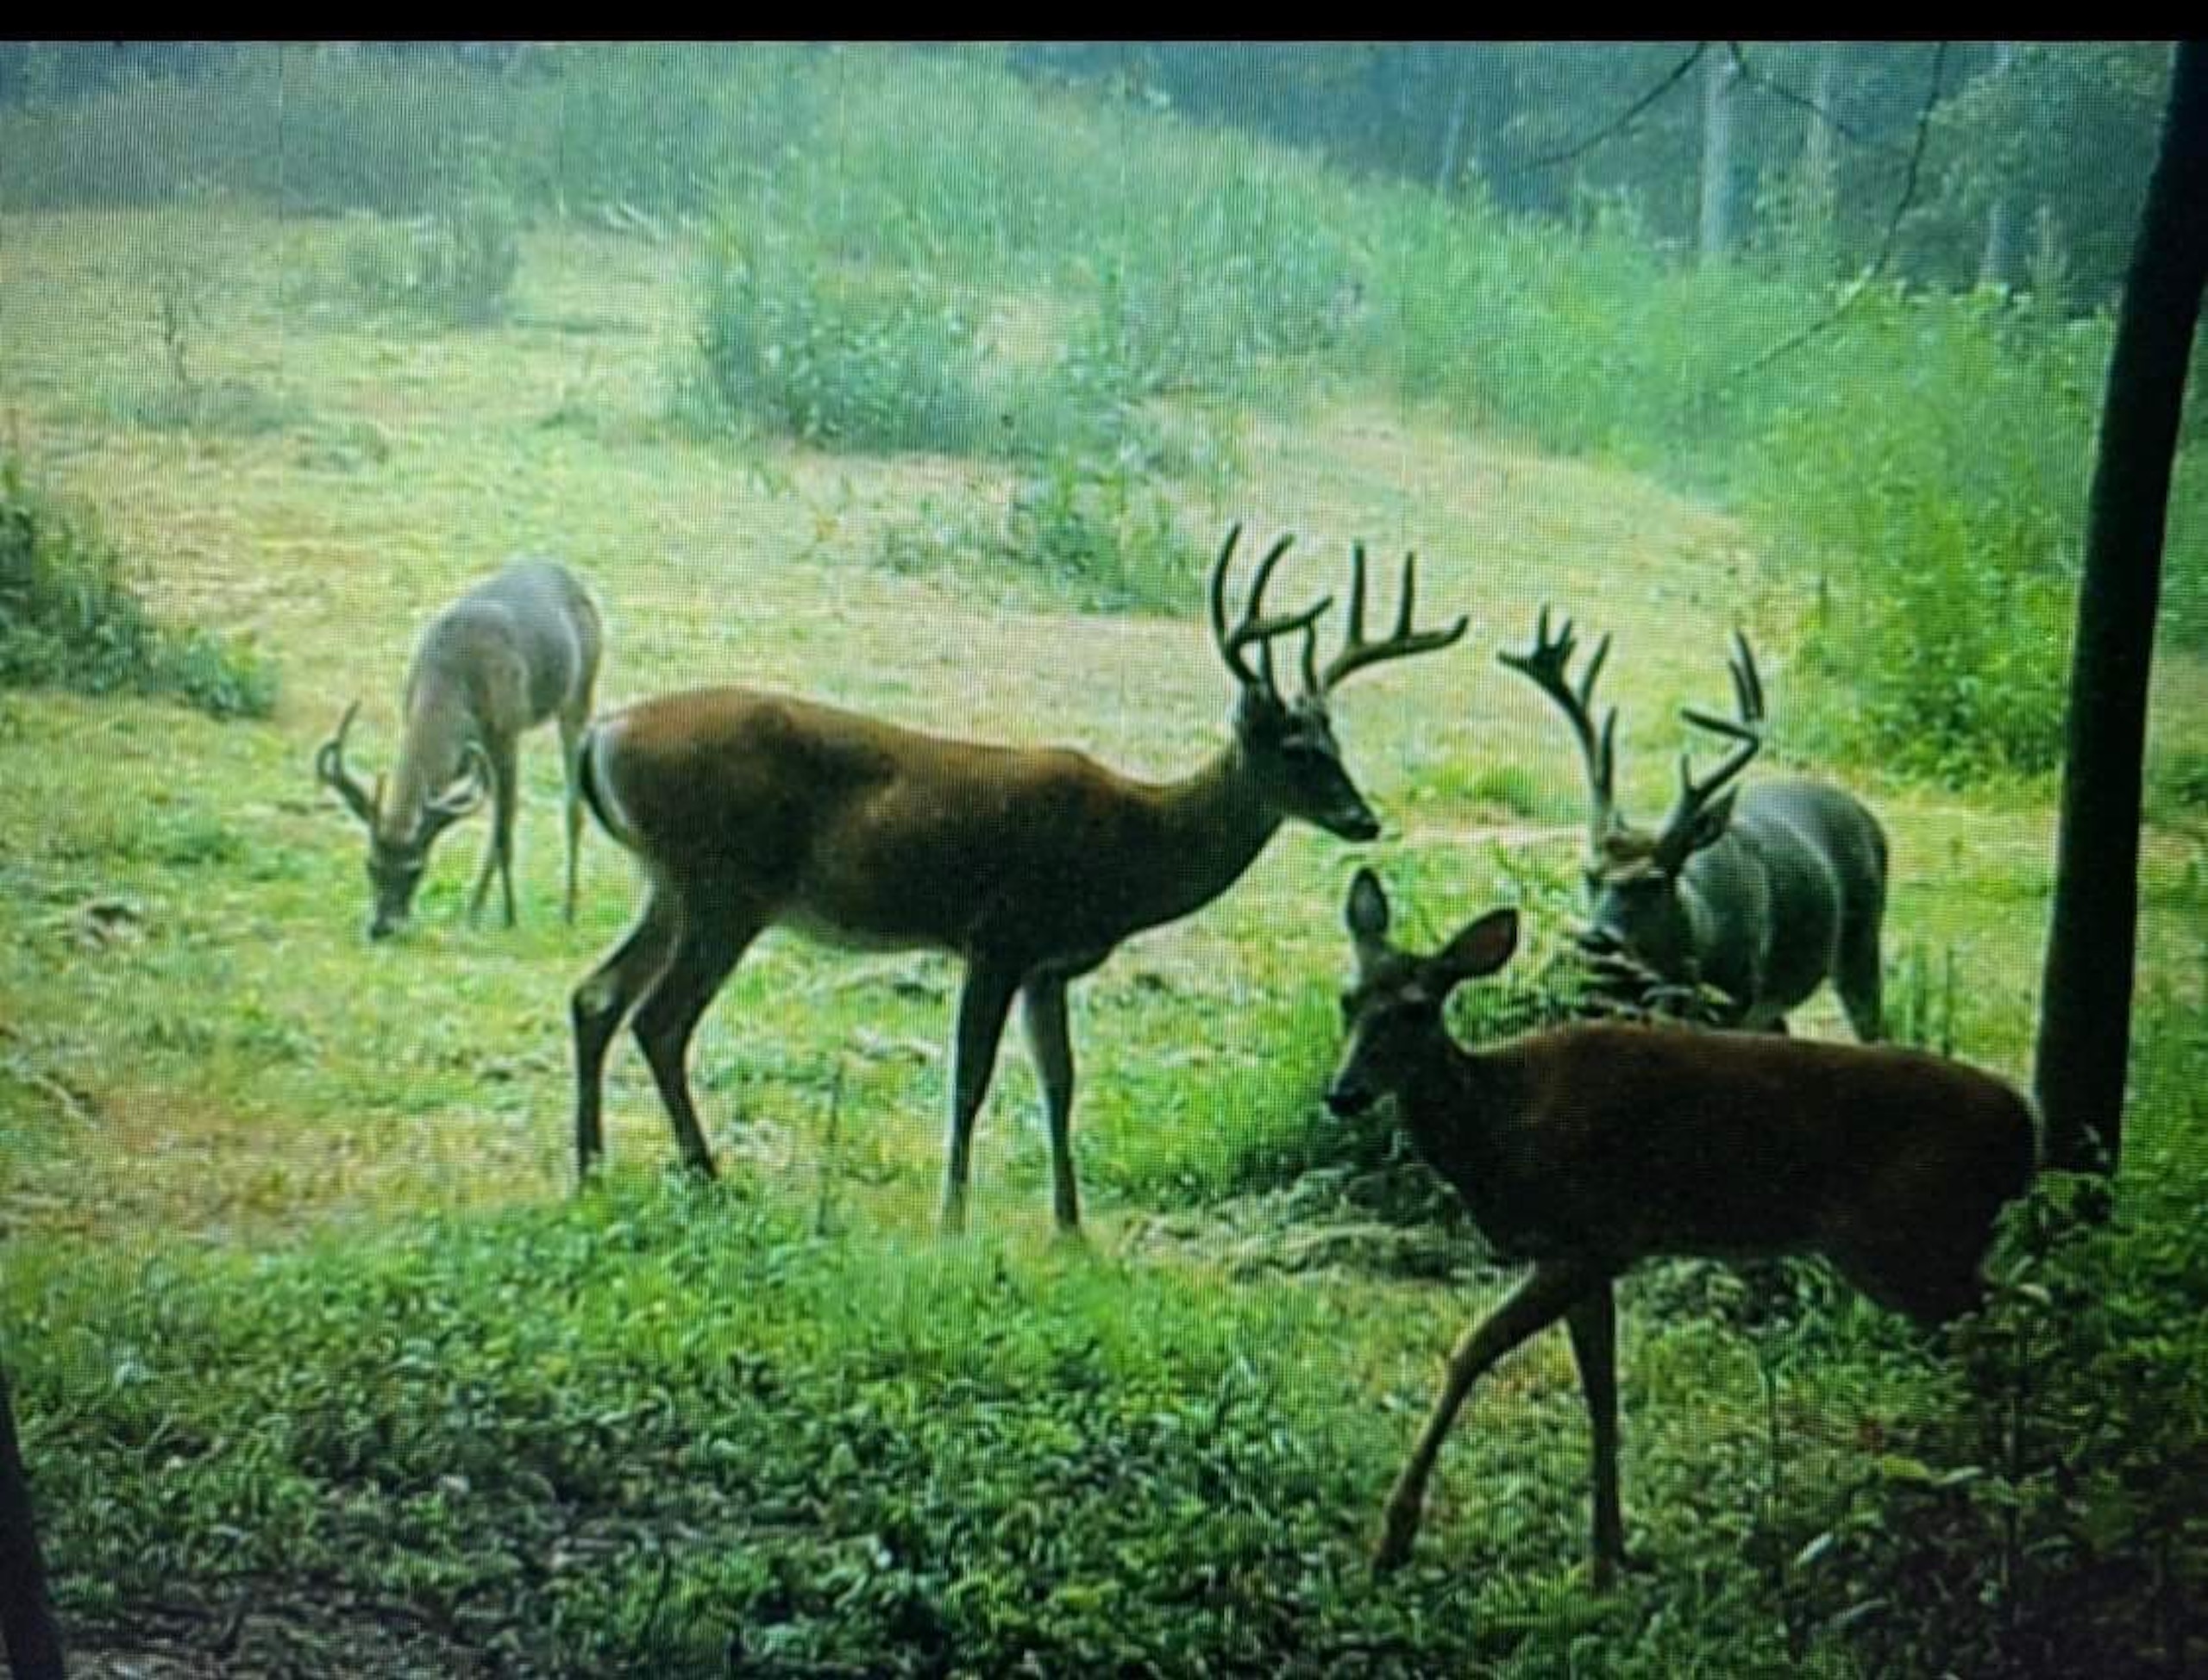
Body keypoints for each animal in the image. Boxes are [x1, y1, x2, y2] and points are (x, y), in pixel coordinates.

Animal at [315, 556, 602, 941]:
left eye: (416, 869)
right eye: (371, 865)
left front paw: (506, 916)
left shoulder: (505, 732)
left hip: (579, 692)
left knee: (571, 804)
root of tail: (569, 577)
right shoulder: (460, 750)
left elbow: (503, 829)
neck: (449, 679)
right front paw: (481, 910)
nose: (382, 927)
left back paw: (568, 910)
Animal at [569, 526, 1469, 1234]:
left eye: (1337, 742)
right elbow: (970, 1080)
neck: (1131, 847)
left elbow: (1060, 1083)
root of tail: (600, 737)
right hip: (724, 885)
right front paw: (953, 1219)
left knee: (596, 996)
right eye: (1297, 750)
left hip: (672, 883)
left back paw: (592, 1169)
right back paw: (704, 1175)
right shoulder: (998, 936)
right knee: (659, 1020)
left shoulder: (1049, 966)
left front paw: (1070, 1228)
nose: (1364, 820)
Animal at [1327, 867, 2038, 1585]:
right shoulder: (1592, 1259)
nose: (1343, 1094)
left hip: (1904, 1241)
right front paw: (1608, 1555)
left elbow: (1471, 1350)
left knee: (2005, 1324)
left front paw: (1393, 1539)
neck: (1499, 1123)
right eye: (1347, 999)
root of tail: (2025, 1127)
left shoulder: (1586, 1240)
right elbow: (1601, 1394)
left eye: (1417, 1008)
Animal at [1500, 609, 1888, 1039]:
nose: (1596, 940)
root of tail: (1864, 813)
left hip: (1860, 942)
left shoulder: (1736, 1002)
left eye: (1654, 882)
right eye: (1589, 875)